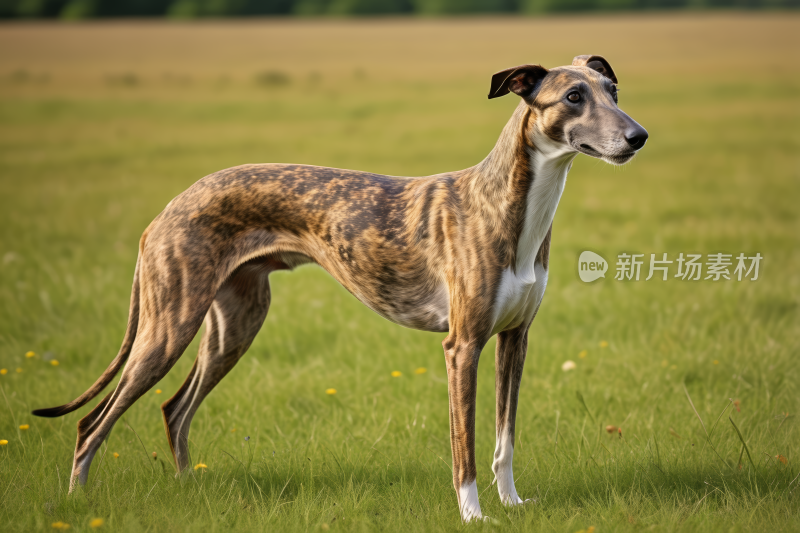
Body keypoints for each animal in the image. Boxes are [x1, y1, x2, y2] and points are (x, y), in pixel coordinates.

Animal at [37, 56, 648, 520]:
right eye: (573, 96)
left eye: (612, 90)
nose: (638, 137)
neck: (509, 206)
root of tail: (165, 210)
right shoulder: (462, 346)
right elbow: (466, 449)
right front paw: (474, 516)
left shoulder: (514, 338)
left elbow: (505, 439)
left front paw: (514, 505)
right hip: (169, 326)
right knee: (92, 424)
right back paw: (76, 502)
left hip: (232, 325)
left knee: (174, 409)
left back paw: (189, 490)